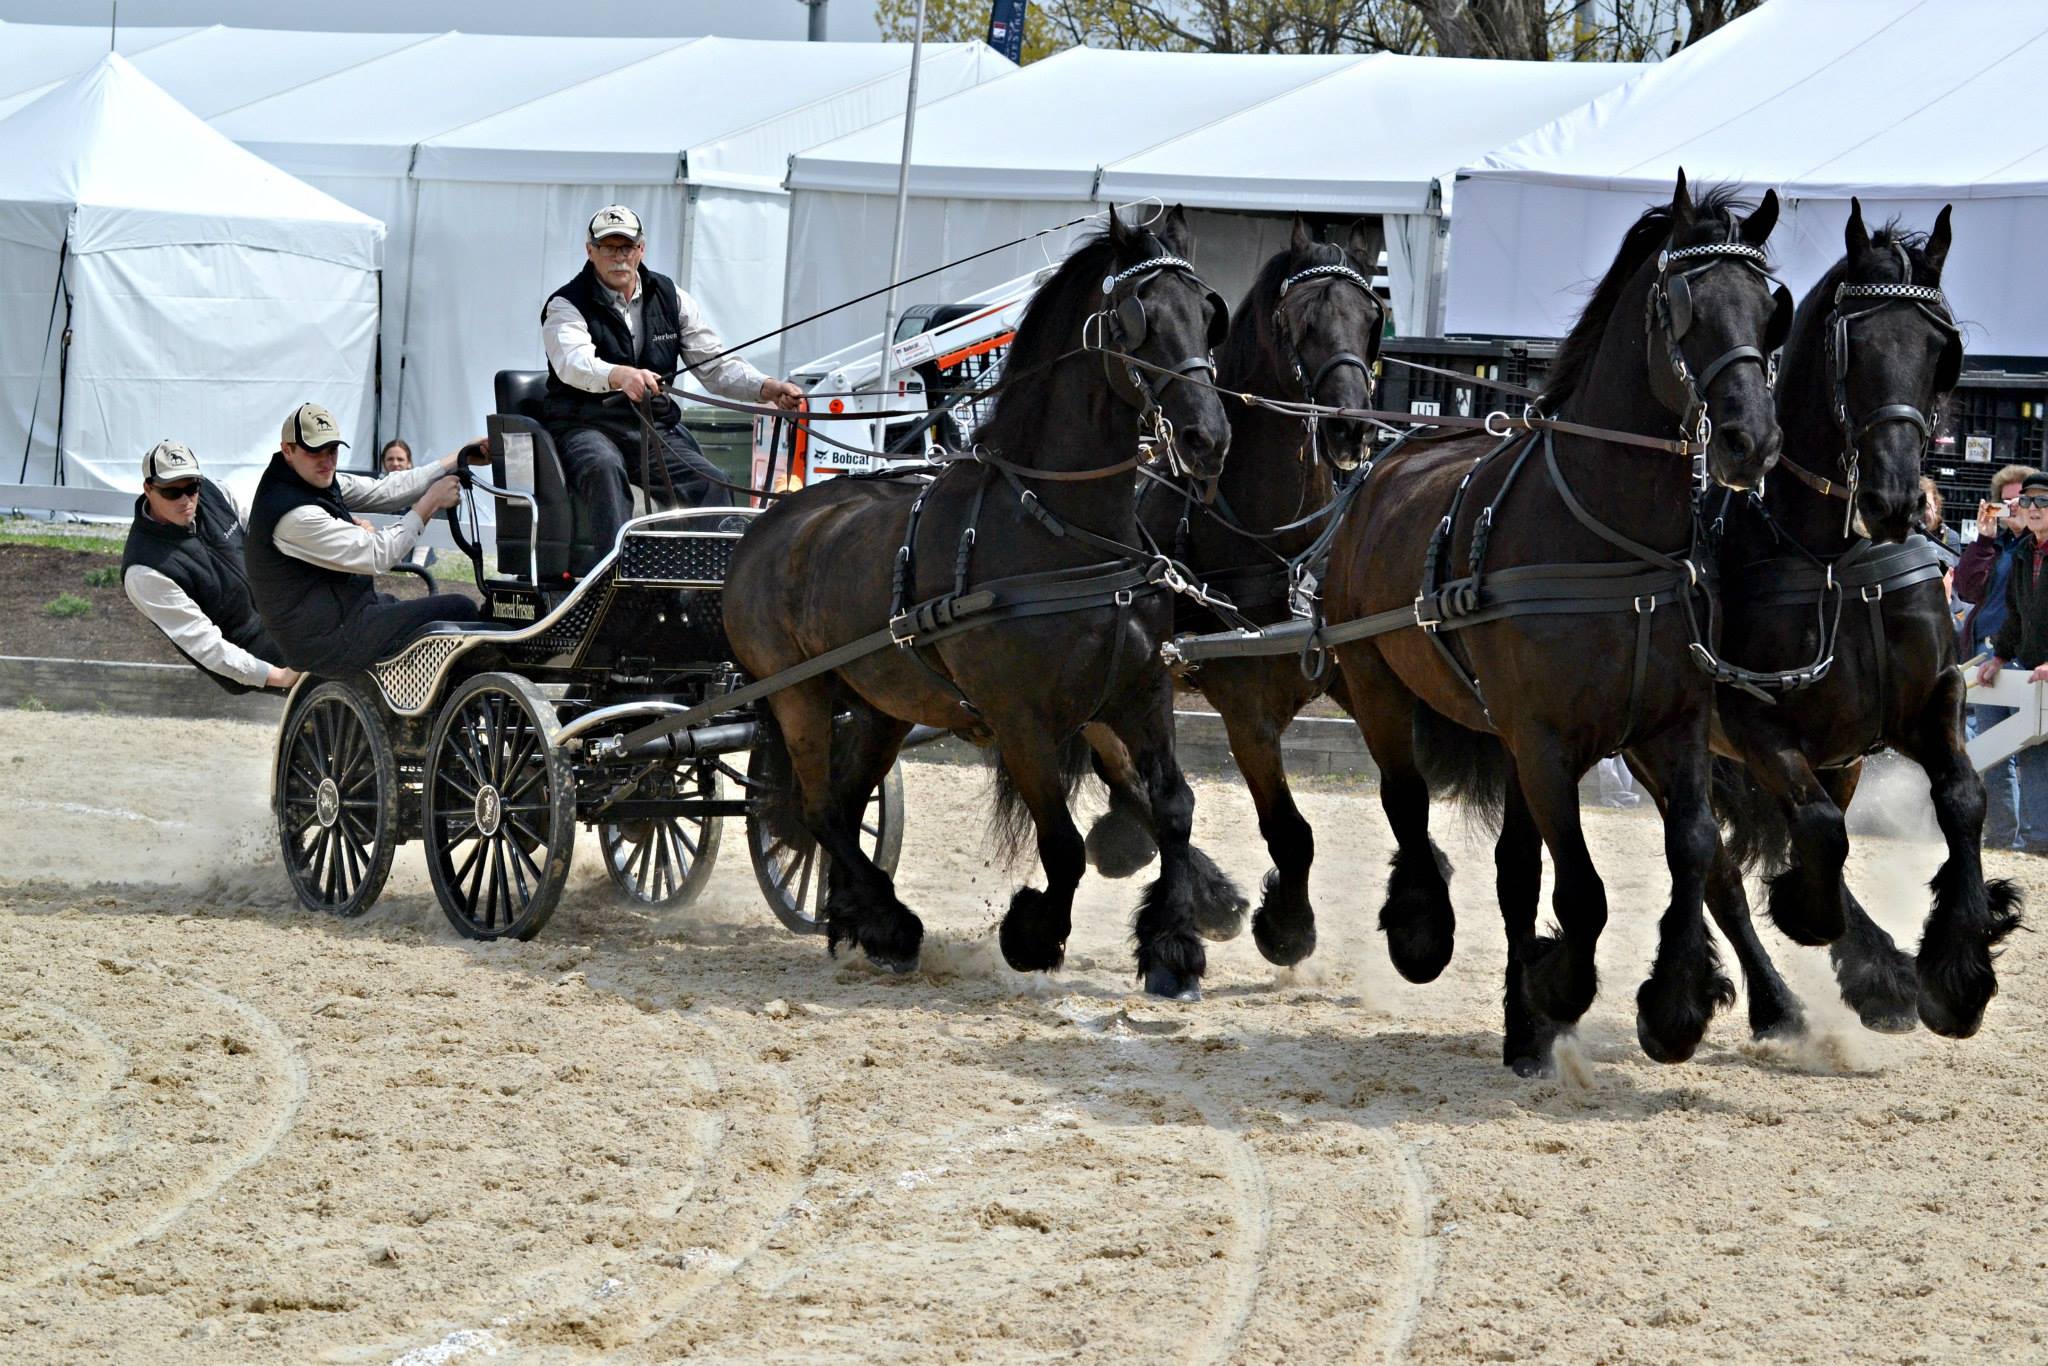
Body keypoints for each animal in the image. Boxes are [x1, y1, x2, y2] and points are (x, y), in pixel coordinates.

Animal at [720, 205, 1228, 995]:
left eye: (1208, 316)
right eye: (1137, 320)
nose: (1209, 437)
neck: (1063, 530)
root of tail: (770, 521)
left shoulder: (1141, 694)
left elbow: (1173, 809)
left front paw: (1175, 947)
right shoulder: (1021, 721)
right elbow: (1063, 846)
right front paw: (1033, 935)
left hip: (880, 705)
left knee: (844, 803)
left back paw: (858, 921)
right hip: (796, 695)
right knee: (820, 809)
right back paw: (890, 925)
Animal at [1081, 216, 1384, 970]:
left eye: (1371, 318)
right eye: (1297, 320)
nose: (1351, 427)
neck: (1270, 538)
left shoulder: (1347, 670)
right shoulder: (1247, 711)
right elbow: (1291, 832)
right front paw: (1288, 927)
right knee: (1122, 771)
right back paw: (1197, 888)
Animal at [1318, 176, 1785, 1073]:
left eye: (1768, 304)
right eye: (1684, 308)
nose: (1753, 441)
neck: (1611, 537)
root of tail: (1385, 462)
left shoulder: (1673, 725)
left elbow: (1692, 848)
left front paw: (1674, 1006)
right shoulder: (1541, 742)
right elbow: (1583, 891)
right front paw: (1559, 984)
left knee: (1513, 868)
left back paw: (1522, 1029)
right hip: (1378, 684)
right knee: (1406, 798)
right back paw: (1426, 932)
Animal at [1703, 200, 2023, 1036]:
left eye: (1940, 350)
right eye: (1852, 346)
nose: (1894, 500)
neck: (1838, 559)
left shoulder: (1928, 699)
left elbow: (1963, 799)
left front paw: (1959, 969)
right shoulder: (1750, 719)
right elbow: (1816, 834)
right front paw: (1807, 914)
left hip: (1841, 756)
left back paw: (1881, 973)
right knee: (1725, 873)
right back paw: (1792, 995)